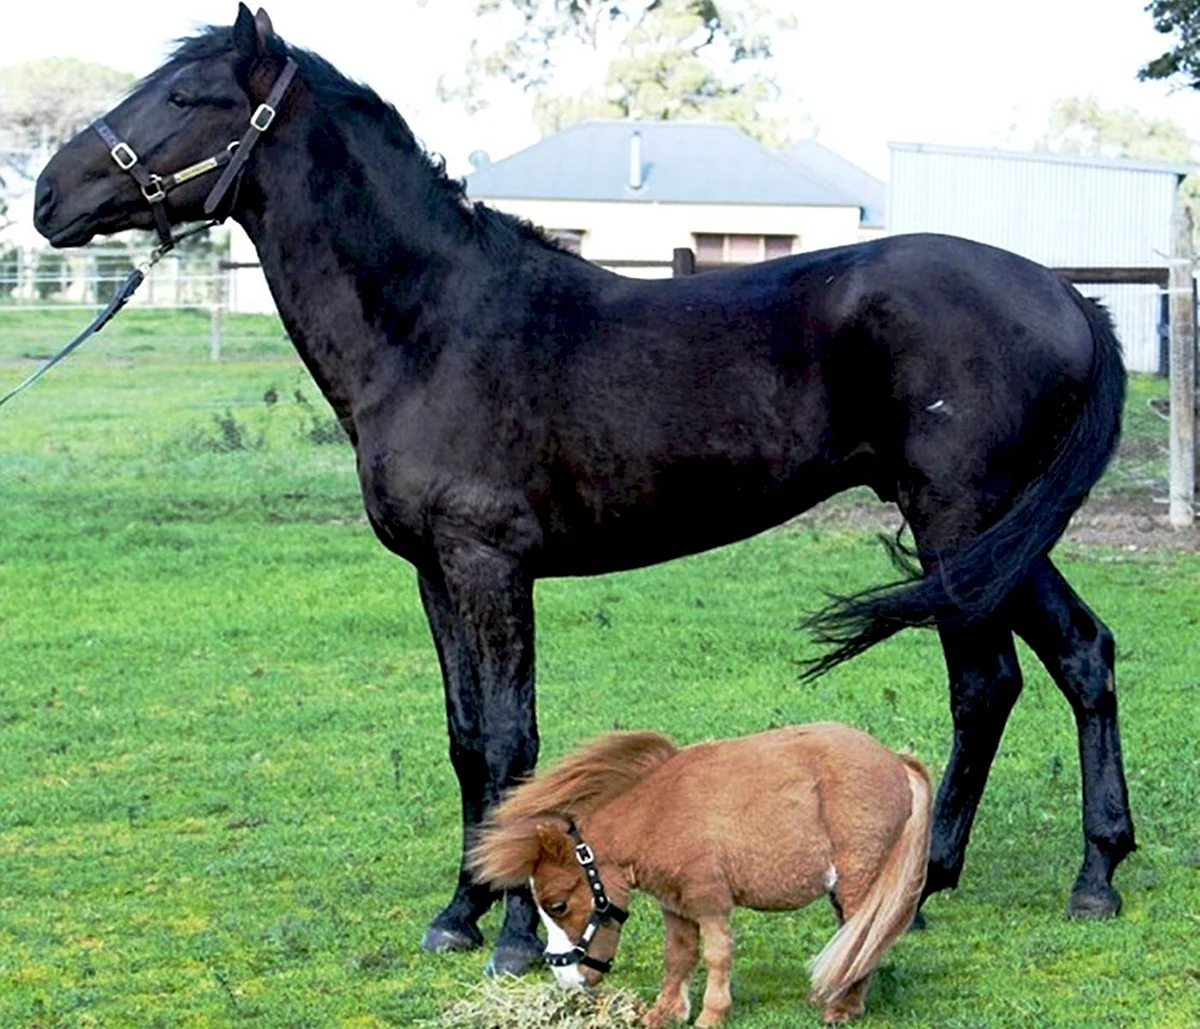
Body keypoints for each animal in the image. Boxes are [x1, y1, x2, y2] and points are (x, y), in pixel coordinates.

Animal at [30, 5, 1132, 969]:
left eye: (185, 94)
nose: (45, 196)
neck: (435, 327)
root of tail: (1067, 295)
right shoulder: (435, 573)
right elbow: (466, 740)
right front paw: (460, 911)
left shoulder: (491, 565)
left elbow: (513, 742)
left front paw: (521, 934)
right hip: (996, 532)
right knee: (1082, 653)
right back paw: (1091, 875)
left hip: (957, 521)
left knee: (985, 683)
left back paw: (934, 879)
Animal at [472, 719, 931, 1026]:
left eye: (558, 905)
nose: (565, 979)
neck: (659, 814)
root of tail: (897, 761)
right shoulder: (675, 905)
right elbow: (678, 956)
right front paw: (664, 1012)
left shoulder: (709, 900)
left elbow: (716, 954)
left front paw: (712, 1015)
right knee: (855, 940)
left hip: (859, 879)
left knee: (864, 934)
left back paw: (843, 1008)